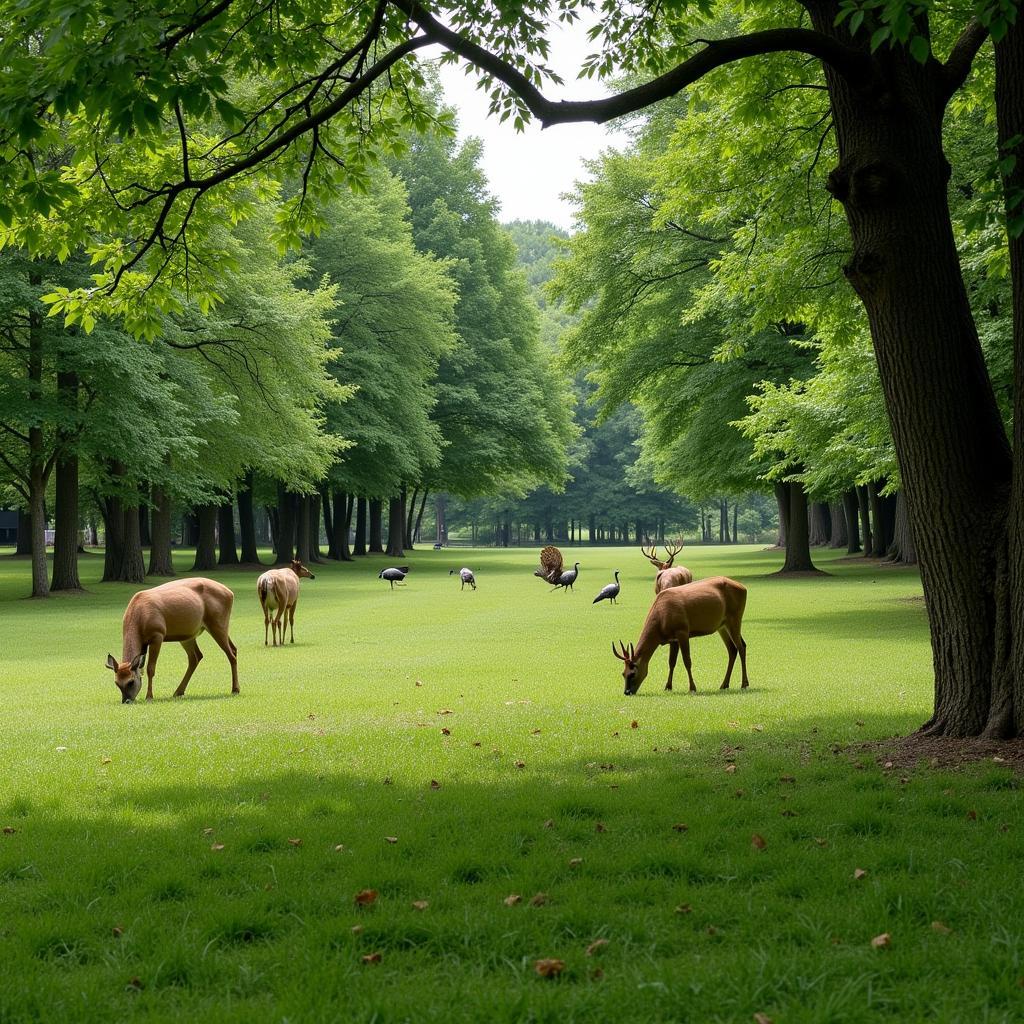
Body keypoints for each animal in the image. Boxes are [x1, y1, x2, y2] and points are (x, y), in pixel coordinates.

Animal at [104, 577, 238, 704]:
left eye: (131, 682)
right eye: (116, 683)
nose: (126, 701)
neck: (138, 619)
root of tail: (230, 593)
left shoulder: (157, 634)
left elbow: (150, 668)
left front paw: (149, 697)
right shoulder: (143, 644)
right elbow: (141, 668)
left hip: (218, 622)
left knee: (230, 653)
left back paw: (235, 689)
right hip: (189, 635)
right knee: (199, 656)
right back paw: (178, 691)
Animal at [610, 577, 749, 696]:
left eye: (632, 673)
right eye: (623, 673)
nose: (627, 692)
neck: (660, 622)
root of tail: (744, 588)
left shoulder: (682, 630)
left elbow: (687, 661)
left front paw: (692, 687)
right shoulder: (673, 639)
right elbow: (671, 662)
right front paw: (668, 686)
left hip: (735, 617)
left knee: (741, 647)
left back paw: (744, 684)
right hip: (722, 626)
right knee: (732, 649)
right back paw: (724, 685)